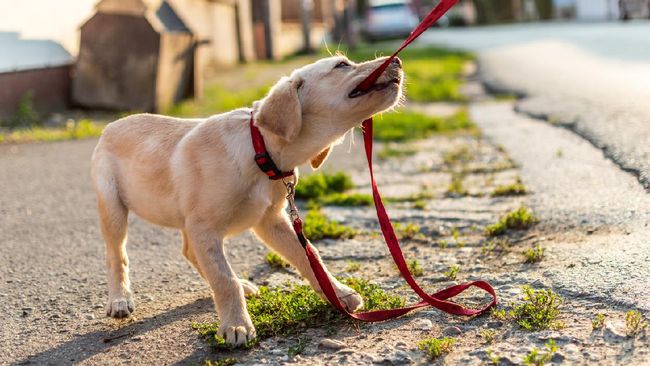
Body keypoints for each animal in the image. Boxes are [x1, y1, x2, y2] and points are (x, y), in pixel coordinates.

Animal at [89, 55, 402, 346]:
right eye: (342, 65)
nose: (397, 60)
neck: (260, 151)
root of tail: (111, 125)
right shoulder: (205, 226)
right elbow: (223, 280)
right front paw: (236, 325)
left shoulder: (271, 221)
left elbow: (309, 256)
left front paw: (338, 293)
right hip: (114, 208)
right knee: (116, 255)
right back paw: (119, 300)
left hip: (188, 221)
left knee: (190, 252)